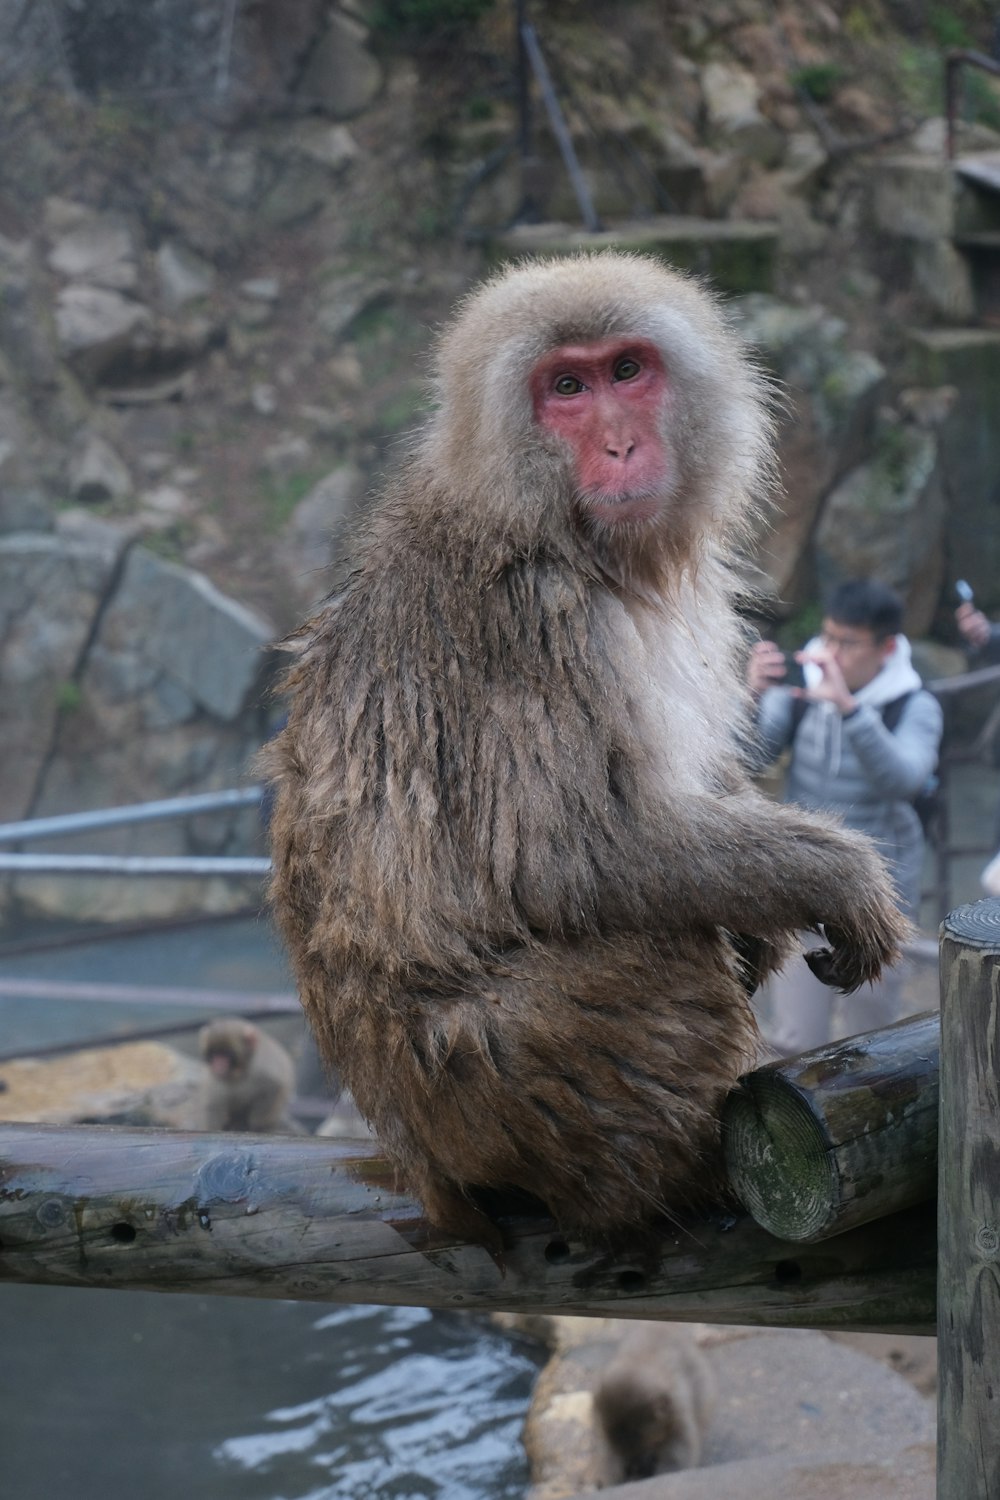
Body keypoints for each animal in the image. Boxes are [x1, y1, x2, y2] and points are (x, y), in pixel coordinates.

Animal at [262, 255, 911, 1242]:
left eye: (626, 371)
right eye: (565, 389)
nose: (617, 446)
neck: (559, 530)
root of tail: (423, 1164)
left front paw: (767, 918)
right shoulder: (529, 619)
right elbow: (571, 857)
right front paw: (836, 878)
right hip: (516, 1079)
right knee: (649, 952)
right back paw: (695, 1171)